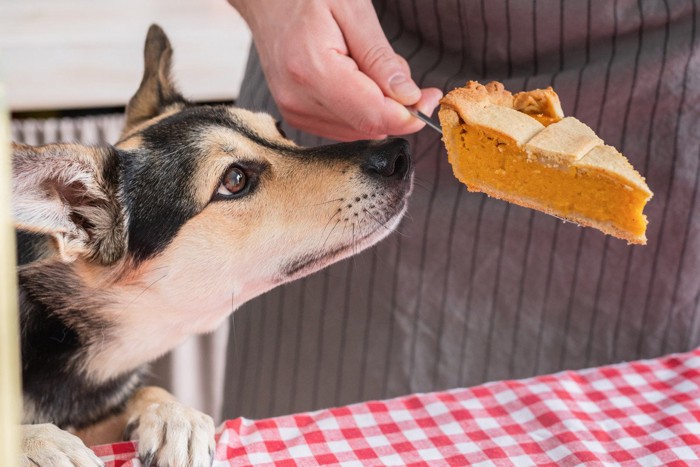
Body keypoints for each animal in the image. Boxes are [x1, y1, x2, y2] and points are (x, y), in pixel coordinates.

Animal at [12, 25, 410, 467]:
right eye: (235, 180)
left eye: (280, 132)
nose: (399, 154)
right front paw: (39, 441)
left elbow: (145, 393)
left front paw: (174, 414)